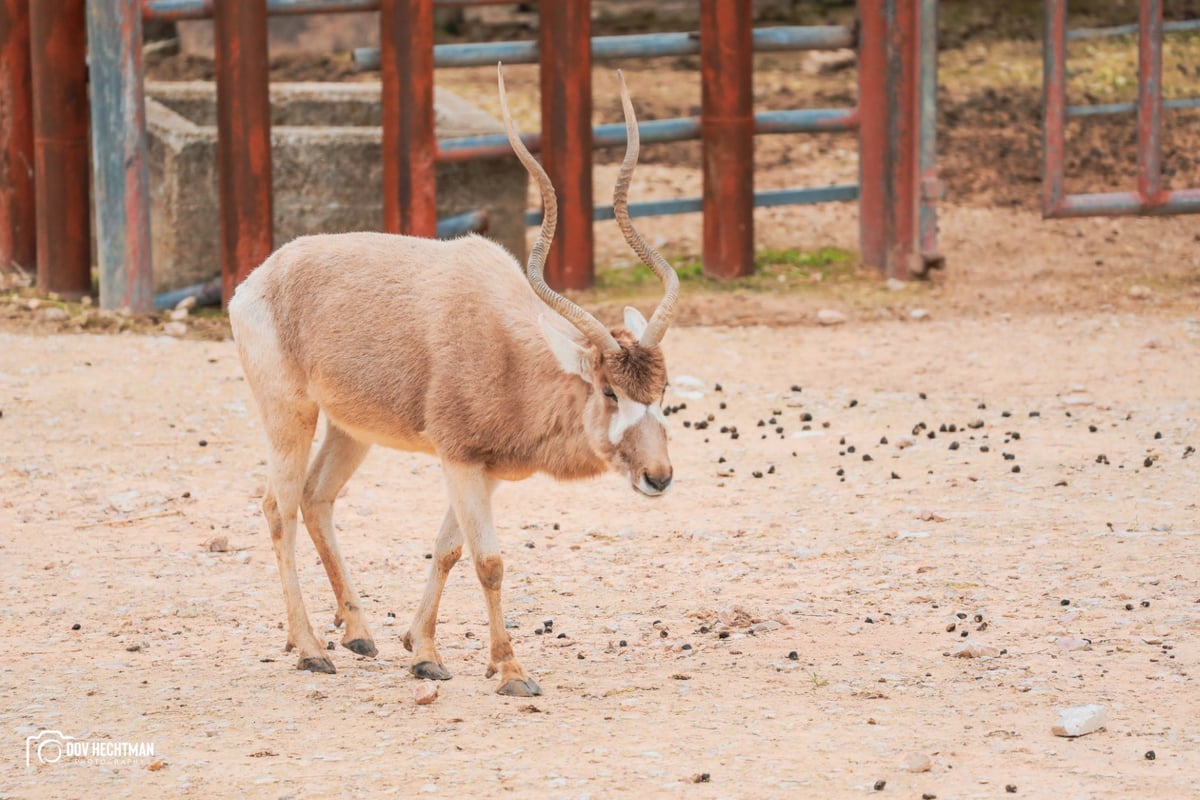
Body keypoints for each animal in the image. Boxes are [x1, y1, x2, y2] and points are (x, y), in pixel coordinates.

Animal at [229, 65, 681, 695]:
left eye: (660, 392)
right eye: (609, 391)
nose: (658, 477)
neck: (513, 354)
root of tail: (258, 279)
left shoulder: (482, 470)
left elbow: (447, 550)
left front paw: (422, 651)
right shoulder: (460, 458)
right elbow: (488, 561)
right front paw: (511, 669)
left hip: (352, 429)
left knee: (318, 497)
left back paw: (358, 633)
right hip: (289, 413)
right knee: (280, 506)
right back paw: (311, 648)